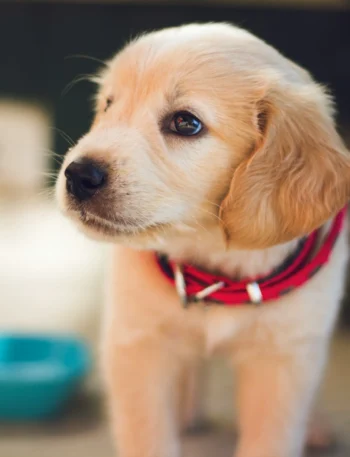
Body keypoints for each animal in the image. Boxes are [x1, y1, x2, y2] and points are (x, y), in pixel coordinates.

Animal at [56, 24, 350, 456]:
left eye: (186, 123)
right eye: (109, 104)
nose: (78, 175)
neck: (214, 265)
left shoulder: (283, 358)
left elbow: (271, 437)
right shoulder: (137, 345)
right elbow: (147, 434)